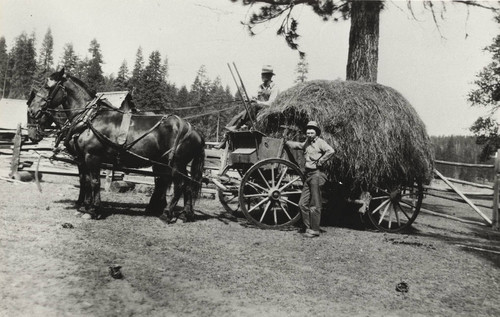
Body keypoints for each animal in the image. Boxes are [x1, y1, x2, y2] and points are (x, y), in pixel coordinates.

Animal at [27, 68, 205, 222]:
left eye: (48, 86)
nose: (32, 110)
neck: (89, 119)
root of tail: (193, 130)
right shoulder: (83, 158)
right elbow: (86, 180)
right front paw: (85, 206)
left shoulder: (92, 157)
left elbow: (94, 182)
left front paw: (93, 210)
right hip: (169, 164)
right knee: (184, 185)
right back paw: (184, 214)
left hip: (176, 164)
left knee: (180, 185)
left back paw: (167, 213)